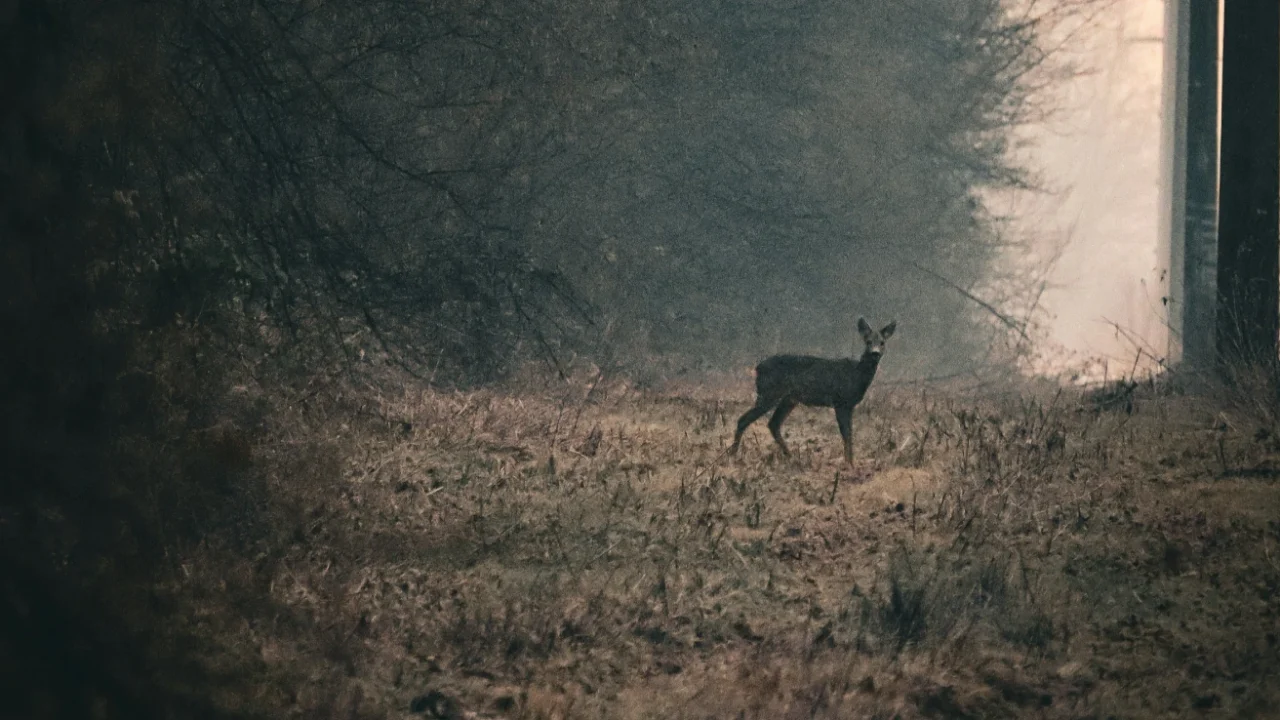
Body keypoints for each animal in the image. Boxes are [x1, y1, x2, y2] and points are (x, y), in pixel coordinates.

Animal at [729, 318, 896, 465]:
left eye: (882, 342)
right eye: (868, 341)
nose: (875, 353)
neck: (856, 375)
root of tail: (757, 368)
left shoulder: (849, 405)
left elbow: (850, 434)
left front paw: (851, 463)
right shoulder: (840, 402)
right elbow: (846, 434)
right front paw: (848, 464)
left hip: (788, 399)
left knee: (773, 424)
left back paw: (792, 457)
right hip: (768, 393)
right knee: (744, 419)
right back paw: (733, 454)